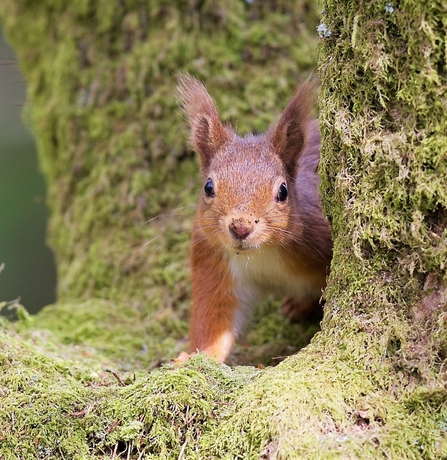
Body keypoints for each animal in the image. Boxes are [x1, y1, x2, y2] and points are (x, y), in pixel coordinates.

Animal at [177, 76, 330, 362]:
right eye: (208, 187)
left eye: (283, 191)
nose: (241, 227)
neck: (262, 253)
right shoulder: (215, 263)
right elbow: (214, 319)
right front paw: (194, 357)